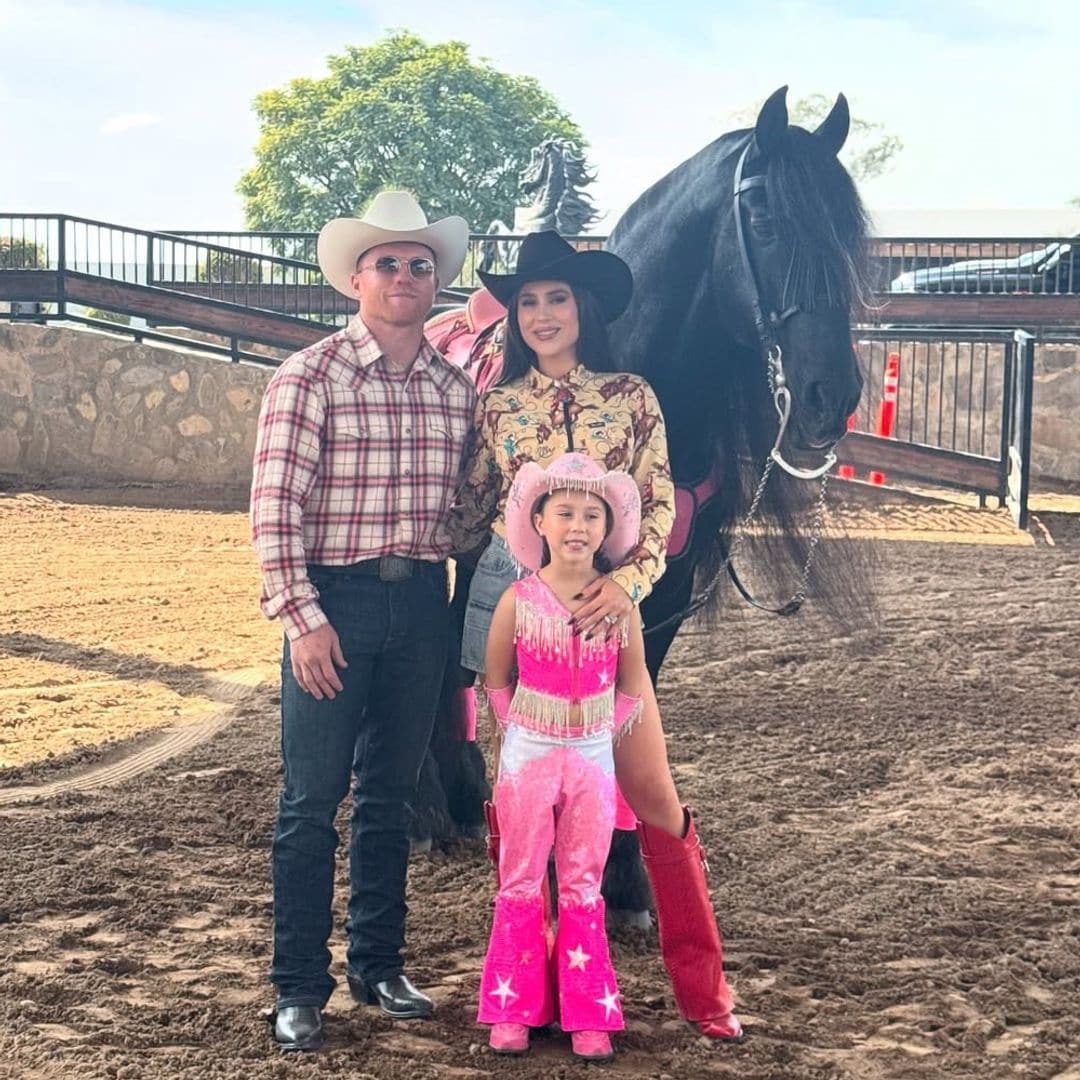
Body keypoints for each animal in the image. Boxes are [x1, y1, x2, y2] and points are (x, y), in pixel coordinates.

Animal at [412, 82, 868, 911]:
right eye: (764, 219)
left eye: (846, 231)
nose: (831, 392)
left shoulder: (663, 581)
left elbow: (628, 706)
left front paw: (623, 877)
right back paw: (428, 809)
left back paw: (461, 800)